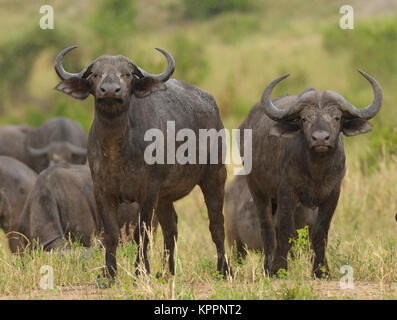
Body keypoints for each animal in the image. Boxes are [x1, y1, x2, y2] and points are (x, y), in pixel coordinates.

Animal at [54, 45, 230, 282]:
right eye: (96, 74)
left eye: (127, 74)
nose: (110, 91)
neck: (117, 149)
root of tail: (211, 106)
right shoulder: (102, 192)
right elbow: (111, 234)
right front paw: (108, 274)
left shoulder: (147, 192)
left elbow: (142, 233)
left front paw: (141, 271)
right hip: (165, 196)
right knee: (171, 227)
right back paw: (166, 272)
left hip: (215, 175)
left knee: (216, 224)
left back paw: (224, 270)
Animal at [238, 71, 380, 276]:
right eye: (305, 119)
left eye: (336, 118)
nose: (320, 138)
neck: (316, 171)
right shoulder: (286, 193)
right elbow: (286, 229)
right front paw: (279, 268)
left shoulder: (333, 194)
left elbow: (321, 231)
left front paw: (321, 270)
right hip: (257, 189)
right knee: (267, 227)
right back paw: (267, 267)